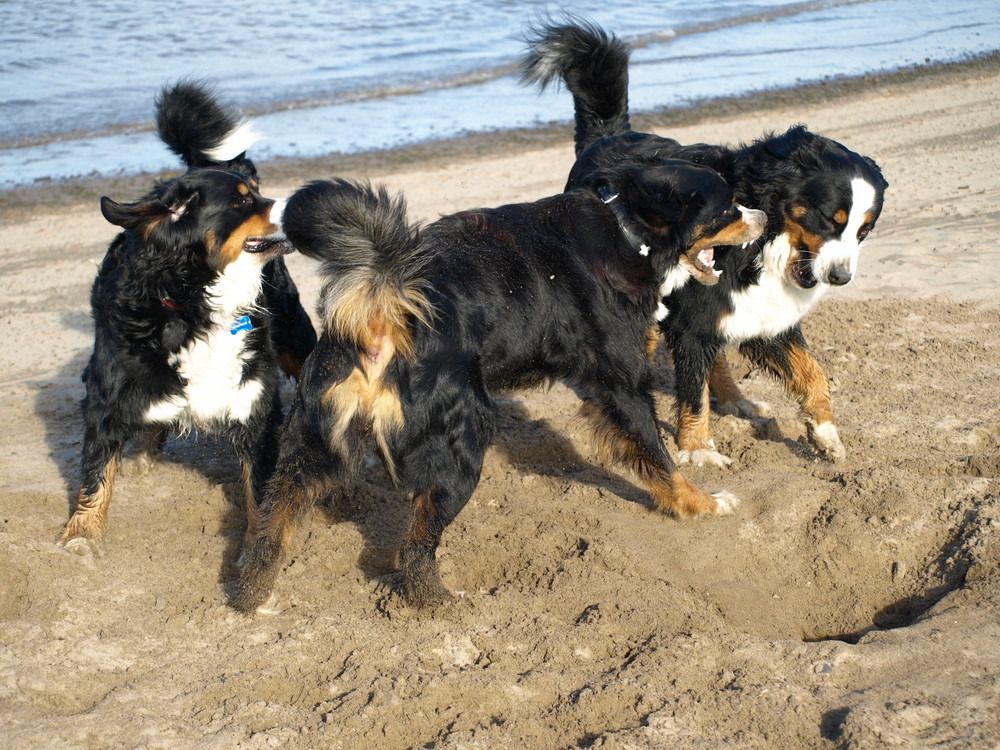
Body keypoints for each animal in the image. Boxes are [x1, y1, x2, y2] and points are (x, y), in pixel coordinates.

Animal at [58, 82, 316, 556]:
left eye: (257, 190)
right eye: (243, 200)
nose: (300, 205)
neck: (196, 302)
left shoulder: (253, 399)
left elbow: (259, 487)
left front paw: (257, 546)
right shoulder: (108, 391)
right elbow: (95, 472)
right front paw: (81, 534)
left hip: (292, 330)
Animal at [232, 163, 764, 612]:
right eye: (727, 209)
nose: (761, 217)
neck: (628, 232)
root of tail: (386, 308)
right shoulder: (623, 385)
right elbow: (659, 458)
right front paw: (702, 504)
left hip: (308, 443)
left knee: (273, 523)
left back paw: (253, 595)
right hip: (461, 448)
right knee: (415, 552)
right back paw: (442, 603)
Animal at [520, 19, 888, 470]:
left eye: (863, 231)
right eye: (827, 218)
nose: (840, 277)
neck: (762, 244)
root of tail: (607, 136)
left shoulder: (765, 315)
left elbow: (813, 372)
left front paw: (825, 435)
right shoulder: (695, 317)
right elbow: (693, 391)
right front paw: (697, 447)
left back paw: (737, 400)